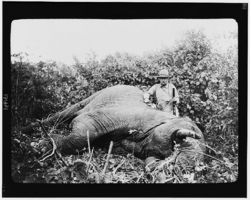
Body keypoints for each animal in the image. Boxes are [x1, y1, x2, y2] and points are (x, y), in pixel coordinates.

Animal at [24, 85, 206, 165]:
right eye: (192, 130)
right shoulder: (122, 116)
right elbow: (85, 127)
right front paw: (42, 146)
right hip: (99, 94)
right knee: (68, 112)